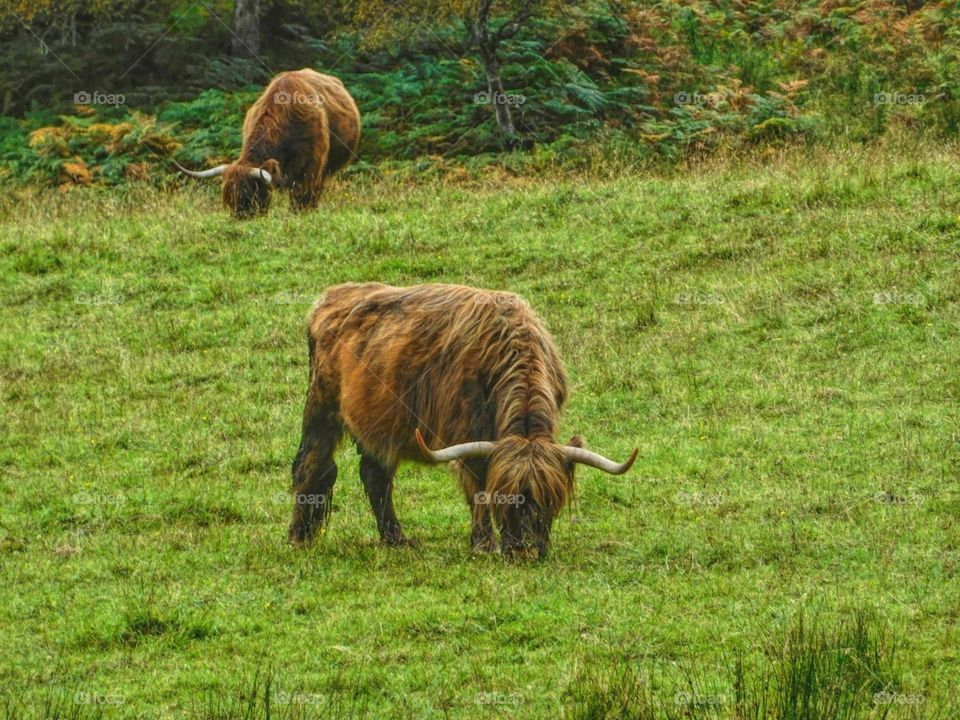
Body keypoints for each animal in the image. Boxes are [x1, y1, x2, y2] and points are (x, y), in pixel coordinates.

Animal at [290, 282, 636, 556]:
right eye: (506, 499)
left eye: (549, 500)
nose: (524, 550)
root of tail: (332, 296)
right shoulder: (466, 436)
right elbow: (477, 487)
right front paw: (483, 544)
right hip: (322, 407)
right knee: (312, 466)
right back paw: (299, 537)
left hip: (379, 425)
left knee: (375, 476)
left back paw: (396, 539)